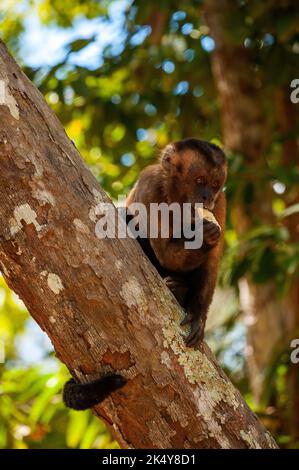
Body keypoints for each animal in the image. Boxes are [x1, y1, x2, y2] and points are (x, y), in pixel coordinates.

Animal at [63, 138, 227, 410]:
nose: (207, 197)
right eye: (199, 180)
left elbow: (211, 265)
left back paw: (179, 289)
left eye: (215, 184)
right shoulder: (150, 183)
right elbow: (164, 250)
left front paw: (198, 314)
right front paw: (203, 236)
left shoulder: (221, 202)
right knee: (128, 216)